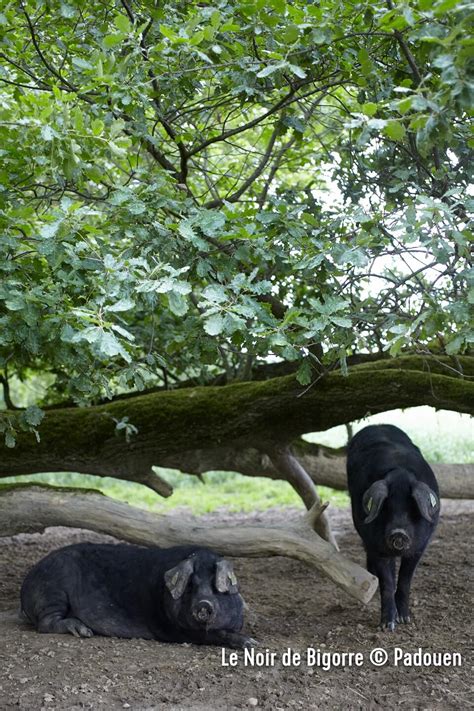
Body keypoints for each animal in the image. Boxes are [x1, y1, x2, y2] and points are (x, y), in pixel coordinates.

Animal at [21, 544, 256, 652]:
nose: (204, 604)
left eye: (216, 587)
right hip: (54, 590)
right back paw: (84, 632)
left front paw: (252, 641)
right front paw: (252, 643)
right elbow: (213, 635)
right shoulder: (173, 629)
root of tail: (27, 581)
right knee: (46, 623)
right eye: (191, 586)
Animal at [344, 426, 440, 632]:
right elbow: (387, 583)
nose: (399, 532)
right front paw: (387, 626)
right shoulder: (376, 546)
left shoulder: (420, 546)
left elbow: (405, 580)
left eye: (412, 507)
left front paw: (405, 620)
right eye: (386, 507)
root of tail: (378, 425)